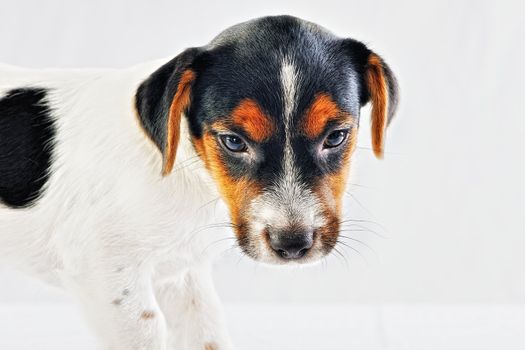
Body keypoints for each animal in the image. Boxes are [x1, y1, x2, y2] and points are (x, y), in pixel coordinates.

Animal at [0, 15, 400, 350]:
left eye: (336, 136)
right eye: (233, 141)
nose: (292, 245)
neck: (189, 170)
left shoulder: (182, 275)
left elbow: (207, 333)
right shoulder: (107, 278)